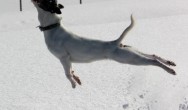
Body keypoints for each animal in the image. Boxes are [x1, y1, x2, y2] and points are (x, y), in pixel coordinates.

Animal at [31, 0, 176, 88]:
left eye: (46, 0)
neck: (52, 28)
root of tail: (116, 42)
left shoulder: (64, 58)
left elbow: (67, 74)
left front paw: (73, 83)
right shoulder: (68, 61)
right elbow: (72, 71)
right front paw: (77, 79)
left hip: (129, 58)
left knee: (153, 61)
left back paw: (170, 70)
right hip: (131, 51)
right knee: (153, 55)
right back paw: (169, 62)